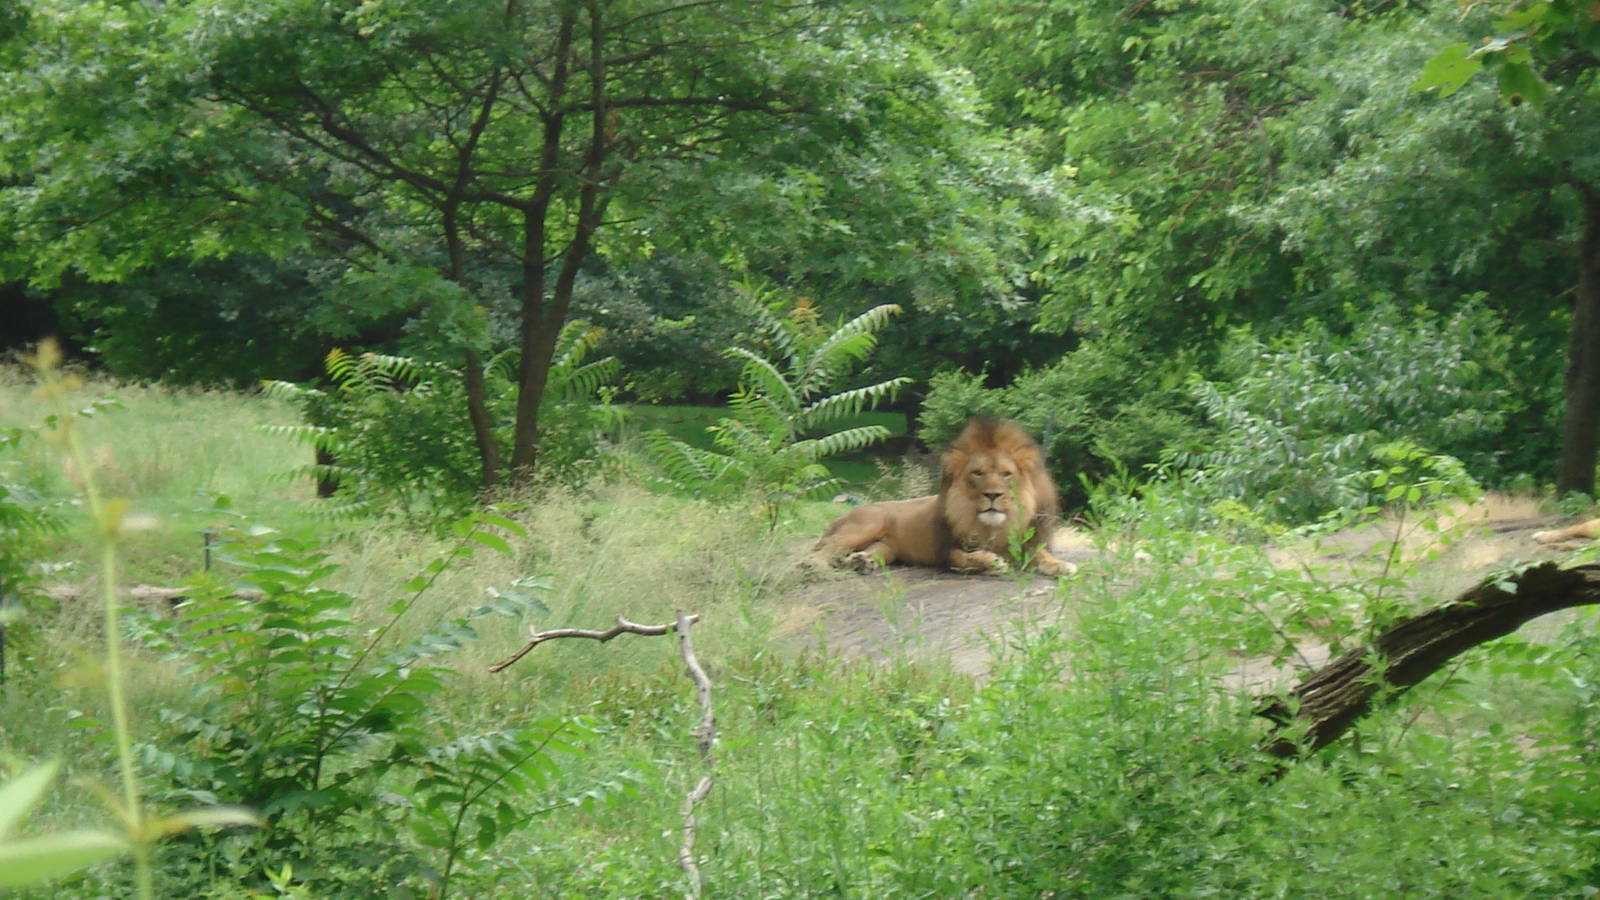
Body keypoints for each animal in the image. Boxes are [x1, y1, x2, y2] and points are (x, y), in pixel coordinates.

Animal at [806, 417, 1077, 577]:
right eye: (978, 473)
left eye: (1006, 474)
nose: (992, 494)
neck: (994, 526)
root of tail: (847, 512)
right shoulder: (947, 553)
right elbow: (966, 558)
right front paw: (991, 562)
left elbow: (1040, 554)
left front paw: (1060, 565)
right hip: (865, 525)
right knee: (826, 548)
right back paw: (812, 565)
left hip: (886, 547)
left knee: (866, 552)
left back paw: (861, 562)